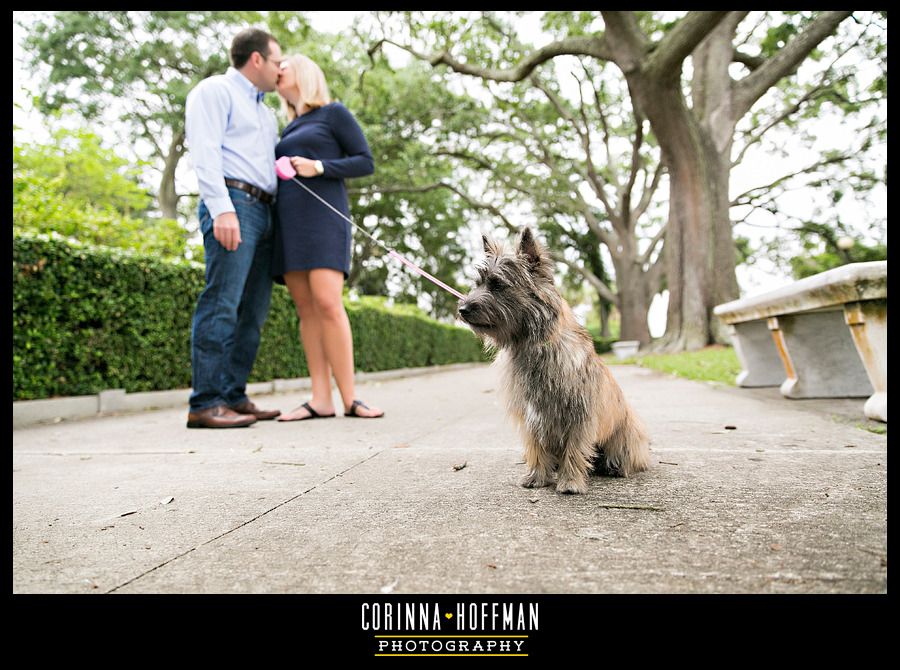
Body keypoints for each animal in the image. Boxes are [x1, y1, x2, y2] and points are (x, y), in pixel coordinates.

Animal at [458, 228, 648, 496]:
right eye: (478, 284)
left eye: (497, 285)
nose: (462, 309)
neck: (531, 345)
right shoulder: (531, 415)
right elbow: (536, 447)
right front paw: (537, 477)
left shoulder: (579, 413)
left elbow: (575, 448)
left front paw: (570, 482)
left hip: (628, 430)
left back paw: (614, 467)